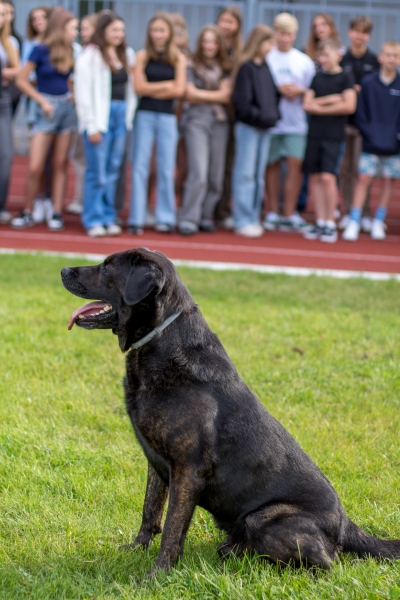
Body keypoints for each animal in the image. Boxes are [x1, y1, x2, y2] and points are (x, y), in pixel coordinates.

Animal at [60, 247, 400, 572]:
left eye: (107, 267)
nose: (63, 270)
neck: (161, 339)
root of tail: (346, 525)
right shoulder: (156, 463)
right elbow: (150, 510)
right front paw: (137, 548)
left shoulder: (188, 471)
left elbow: (172, 530)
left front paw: (157, 576)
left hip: (263, 519)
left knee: (328, 563)